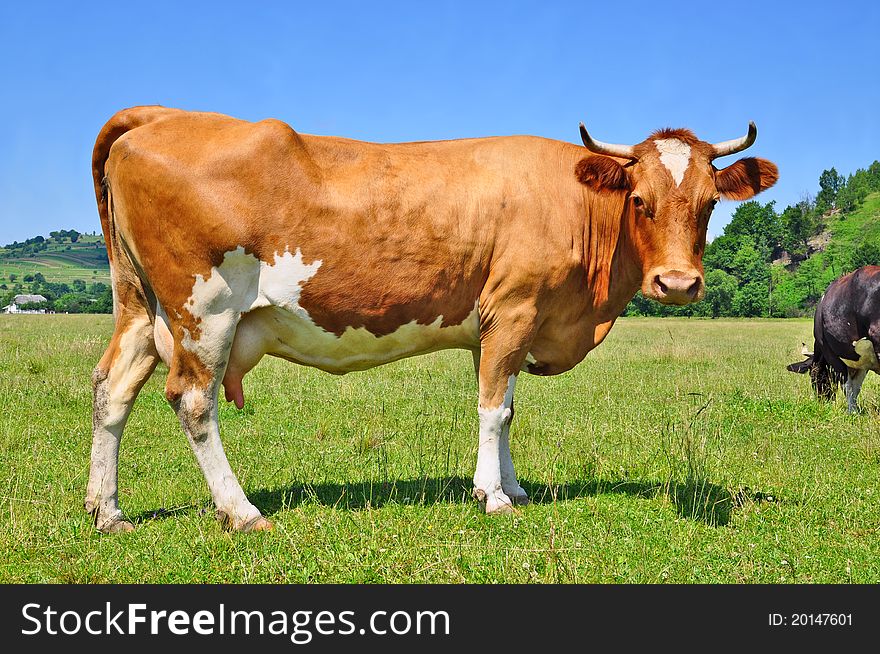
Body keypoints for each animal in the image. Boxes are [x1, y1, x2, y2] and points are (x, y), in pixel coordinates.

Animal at [87, 104, 776, 532]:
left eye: (709, 203)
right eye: (639, 199)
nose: (678, 283)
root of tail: (163, 115)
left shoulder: (498, 328)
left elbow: (505, 406)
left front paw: (513, 486)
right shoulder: (515, 307)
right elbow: (493, 408)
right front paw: (493, 497)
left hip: (141, 307)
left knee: (112, 387)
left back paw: (107, 510)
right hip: (203, 310)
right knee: (193, 401)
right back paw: (242, 511)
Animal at [784, 266, 880, 410]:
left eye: (812, 373)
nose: (822, 401)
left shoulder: (831, 354)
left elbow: (848, 387)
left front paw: (852, 411)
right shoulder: (861, 362)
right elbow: (855, 387)